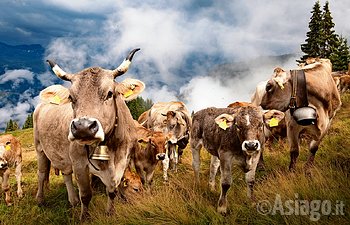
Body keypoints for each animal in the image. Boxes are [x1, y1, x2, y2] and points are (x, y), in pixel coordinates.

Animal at [33, 48, 144, 220]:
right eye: (71, 97)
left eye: (110, 93)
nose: (82, 127)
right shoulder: (79, 163)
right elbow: (86, 195)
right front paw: (84, 217)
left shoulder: (122, 160)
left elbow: (112, 190)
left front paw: (110, 213)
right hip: (40, 148)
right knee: (41, 173)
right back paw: (40, 200)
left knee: (66, 173)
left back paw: (73, 200)